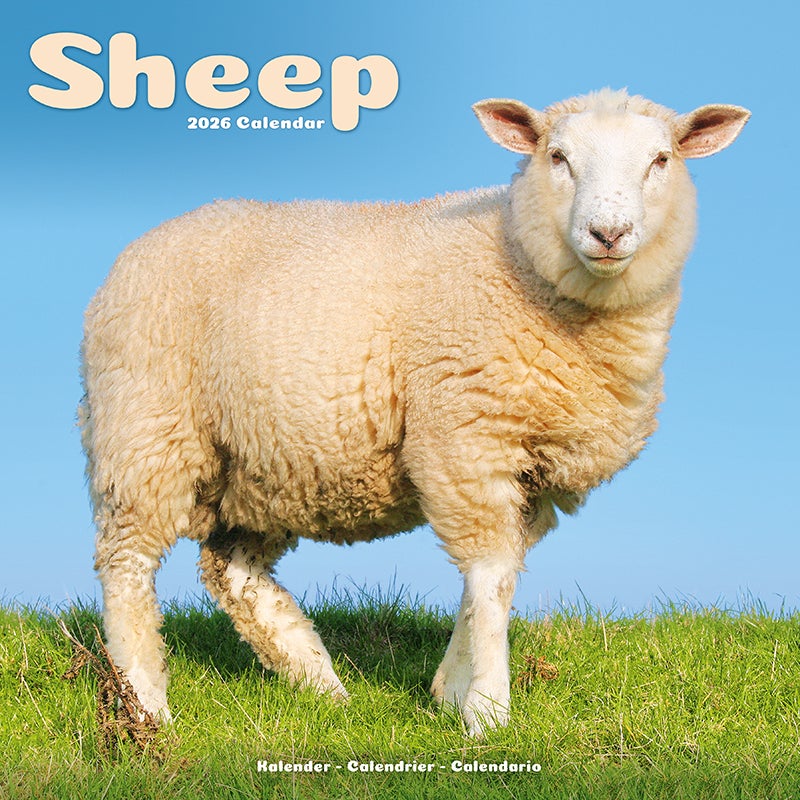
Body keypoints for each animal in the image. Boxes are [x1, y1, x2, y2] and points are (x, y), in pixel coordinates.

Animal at [79, 88, 749, 737]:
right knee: (126, 565)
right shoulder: (465, 437)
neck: (519, 261)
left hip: (263, 463)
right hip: (145, 430)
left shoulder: (532, 475)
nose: (608, 234)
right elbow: (491, 575)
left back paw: (319, 683)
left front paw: (450, 690)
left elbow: (494, 579)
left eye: (660, 160)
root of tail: (133, 253)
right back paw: (146, 705)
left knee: (233, 574)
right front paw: (487, 709)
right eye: (557, 157)